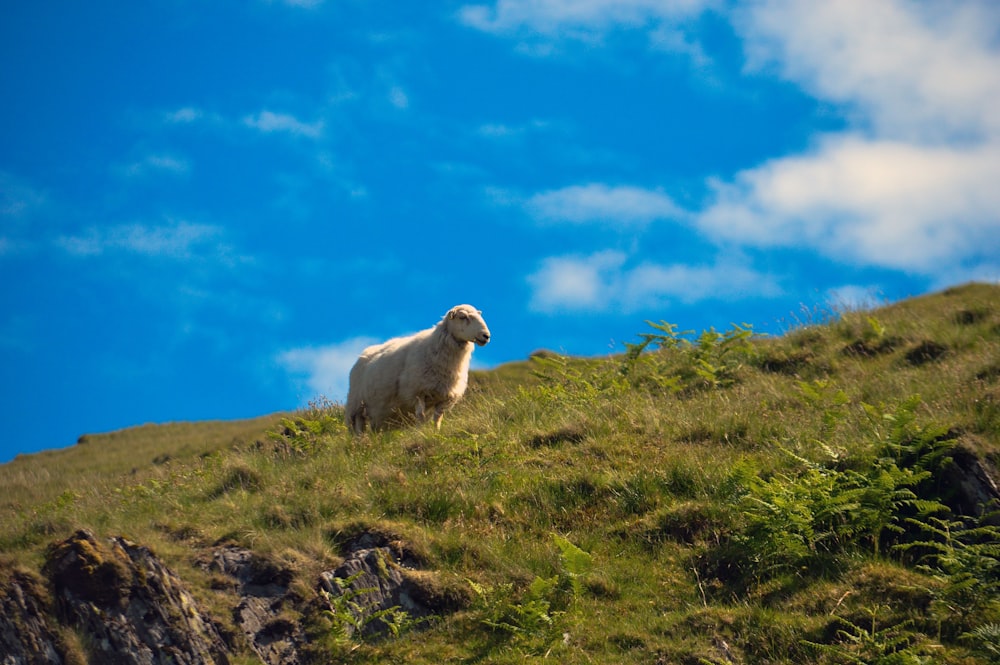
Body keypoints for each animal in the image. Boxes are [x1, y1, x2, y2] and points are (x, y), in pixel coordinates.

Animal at [346, 304, 494, 434]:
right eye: (463, 317)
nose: (486, 336)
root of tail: (363, 354)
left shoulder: (443, 396)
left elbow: (438, 419)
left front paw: (436, 433)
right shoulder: (417, 391)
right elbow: (420, 415)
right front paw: (420, 432)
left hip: (377, 411)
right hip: (357, 405)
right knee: (358, 427)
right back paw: (361, 443)